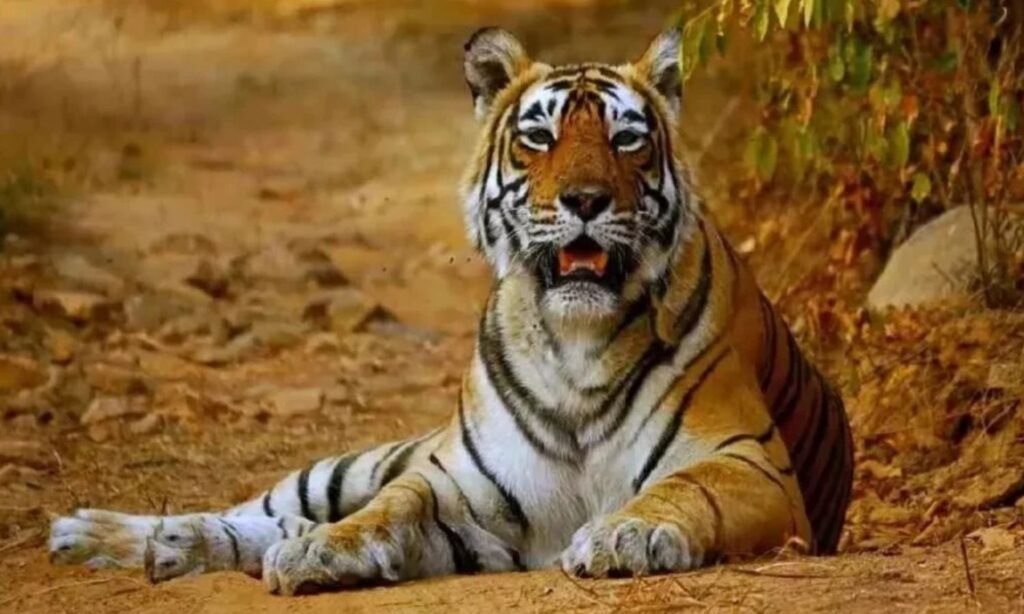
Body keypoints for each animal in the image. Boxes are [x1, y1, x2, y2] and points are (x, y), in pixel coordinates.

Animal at [48, 27, 853, 595]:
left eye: (627, 139)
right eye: (539, 137)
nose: (586, 200)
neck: (576, 342)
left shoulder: (749, 461)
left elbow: (682, 490)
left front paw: (620, 536)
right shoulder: (455, 481)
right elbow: (391, 508)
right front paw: (323, 548)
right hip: (349, 464)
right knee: (267, 506)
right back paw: (106, 536)